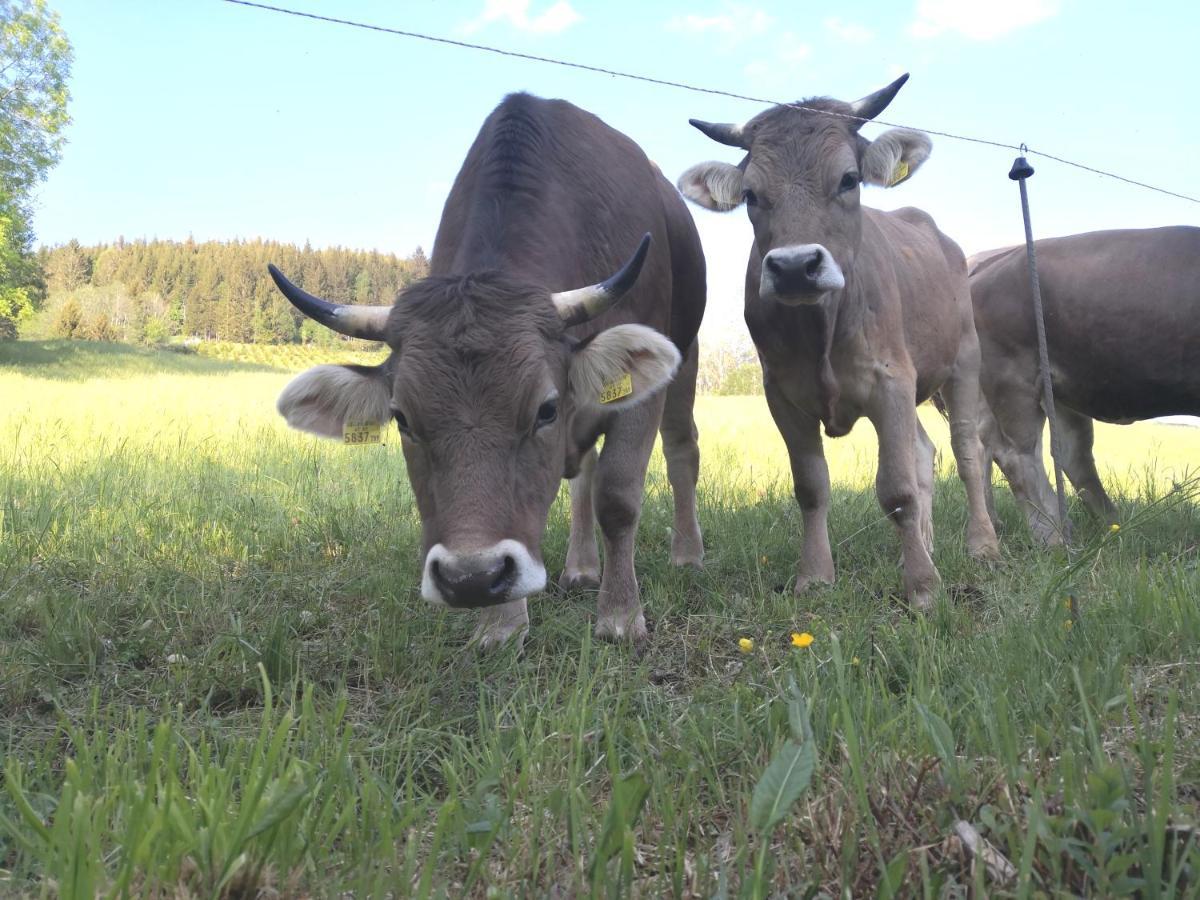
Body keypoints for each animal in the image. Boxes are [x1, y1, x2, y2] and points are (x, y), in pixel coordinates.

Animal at [267, 95, 705, 648]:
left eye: (545, 409)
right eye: (402, 419)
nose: (471, 577)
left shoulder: (637, 396)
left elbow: (619, 496)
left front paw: (622, 616)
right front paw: (501, 625)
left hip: (686, 357)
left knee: (681, 450)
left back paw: (687, 554)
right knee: (582, 473)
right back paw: (581, 568)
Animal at [681, 74, 998, 609]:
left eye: (849, 179)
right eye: (751, 195)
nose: (794, 267)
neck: (821, 329)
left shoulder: (890, 380)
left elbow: (897, 489)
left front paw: (923, 588)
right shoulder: (783, 394)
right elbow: (812, 486)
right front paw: (815, 575)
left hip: (964, 364)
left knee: (967, 451)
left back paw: (982, 544)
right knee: (924, 452)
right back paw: (926, 544)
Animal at [960, 229, 1200, 547]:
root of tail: (990, 264)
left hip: (1059, 389)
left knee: (1070, 454)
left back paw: (1112, 526)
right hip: (1012, 376)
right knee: (1016, 454)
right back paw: (1054, 536)